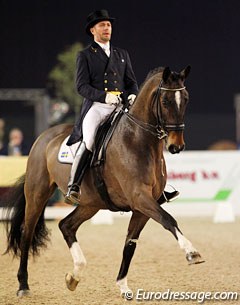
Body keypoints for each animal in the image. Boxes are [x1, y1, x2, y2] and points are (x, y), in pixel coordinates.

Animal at [3, 66, 204, 296]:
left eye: (186, 99)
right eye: (165, 101)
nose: (176, 146)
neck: (139, 141)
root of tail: (44, 136)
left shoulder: (143, 206)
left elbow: (130, 243)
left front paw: (122, 285)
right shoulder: (139, 197)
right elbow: (168, 219)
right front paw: (192, 253)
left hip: (90, 203)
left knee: (66, 226)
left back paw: (74, 276)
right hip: (38, 194)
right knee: (27, 233)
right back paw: (23, 285)